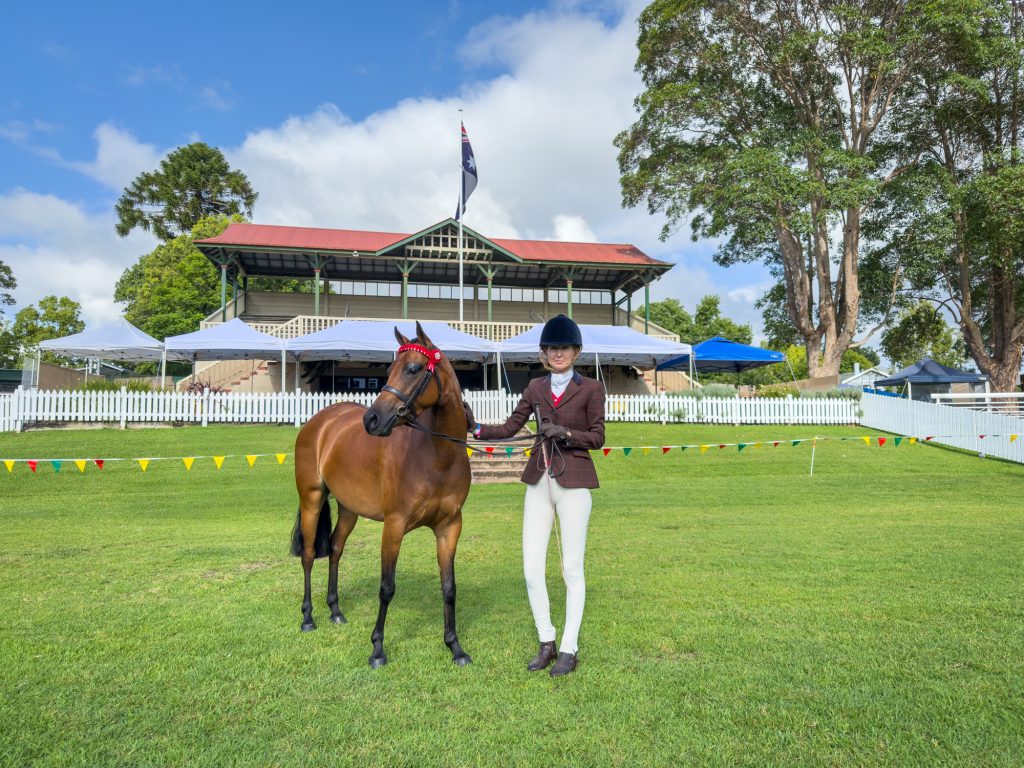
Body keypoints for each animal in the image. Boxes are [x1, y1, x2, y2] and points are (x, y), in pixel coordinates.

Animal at [290, 321, 473, 668]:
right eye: (389, 370)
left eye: (413, 368)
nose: (371, 420)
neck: (437, 457)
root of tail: (320, 422)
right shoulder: (394, 526)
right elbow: (387, 587)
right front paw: (377, 649)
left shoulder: (450, 527)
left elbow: (450, 587)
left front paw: (455, 647)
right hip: (312, 498)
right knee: (308, 555)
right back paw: (307, 618)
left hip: (349, 509)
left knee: (335, 549)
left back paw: (335, 610)